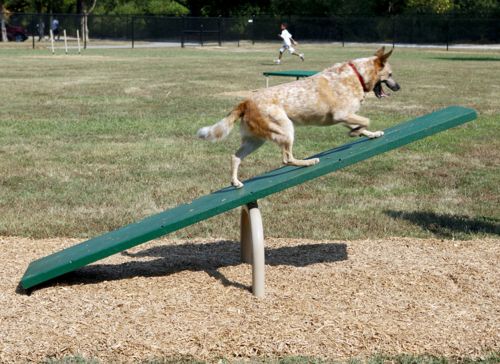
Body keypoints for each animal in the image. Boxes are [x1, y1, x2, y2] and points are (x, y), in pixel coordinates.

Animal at [197, 47, 400, 189]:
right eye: (390, 74)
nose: (398, 87)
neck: (357, 75)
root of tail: (246, 102)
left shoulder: (345, 117)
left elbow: (363, 126)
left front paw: (370, 134)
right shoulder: (341, 114)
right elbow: (365, 121)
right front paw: (356, 133)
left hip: (255, 140)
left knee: (235, 157)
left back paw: (236, 182)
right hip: (286, 129)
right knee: (287, 159)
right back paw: (308, 162)